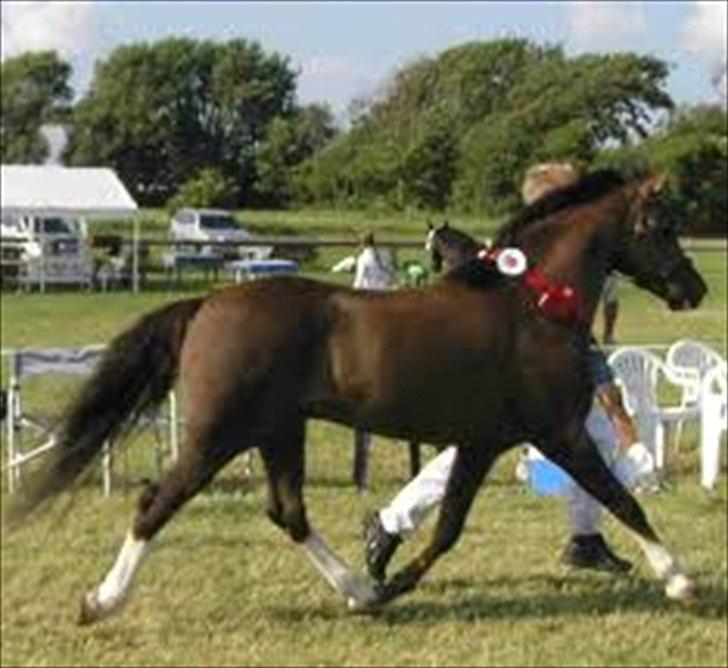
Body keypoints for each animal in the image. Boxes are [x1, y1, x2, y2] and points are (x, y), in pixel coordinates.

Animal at [6, 170, 707, 622]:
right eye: (663, 226)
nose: (694, 289)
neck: (528, 303)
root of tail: (207, 303)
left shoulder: (482, 443)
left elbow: (448, 528)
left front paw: (388, 581)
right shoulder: (557, 431)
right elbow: (620, 498)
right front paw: (680, 580)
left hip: (276, 431)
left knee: (287, 511)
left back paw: (356, 591)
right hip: (217, 434)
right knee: (158, 502)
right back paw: (99, 602)